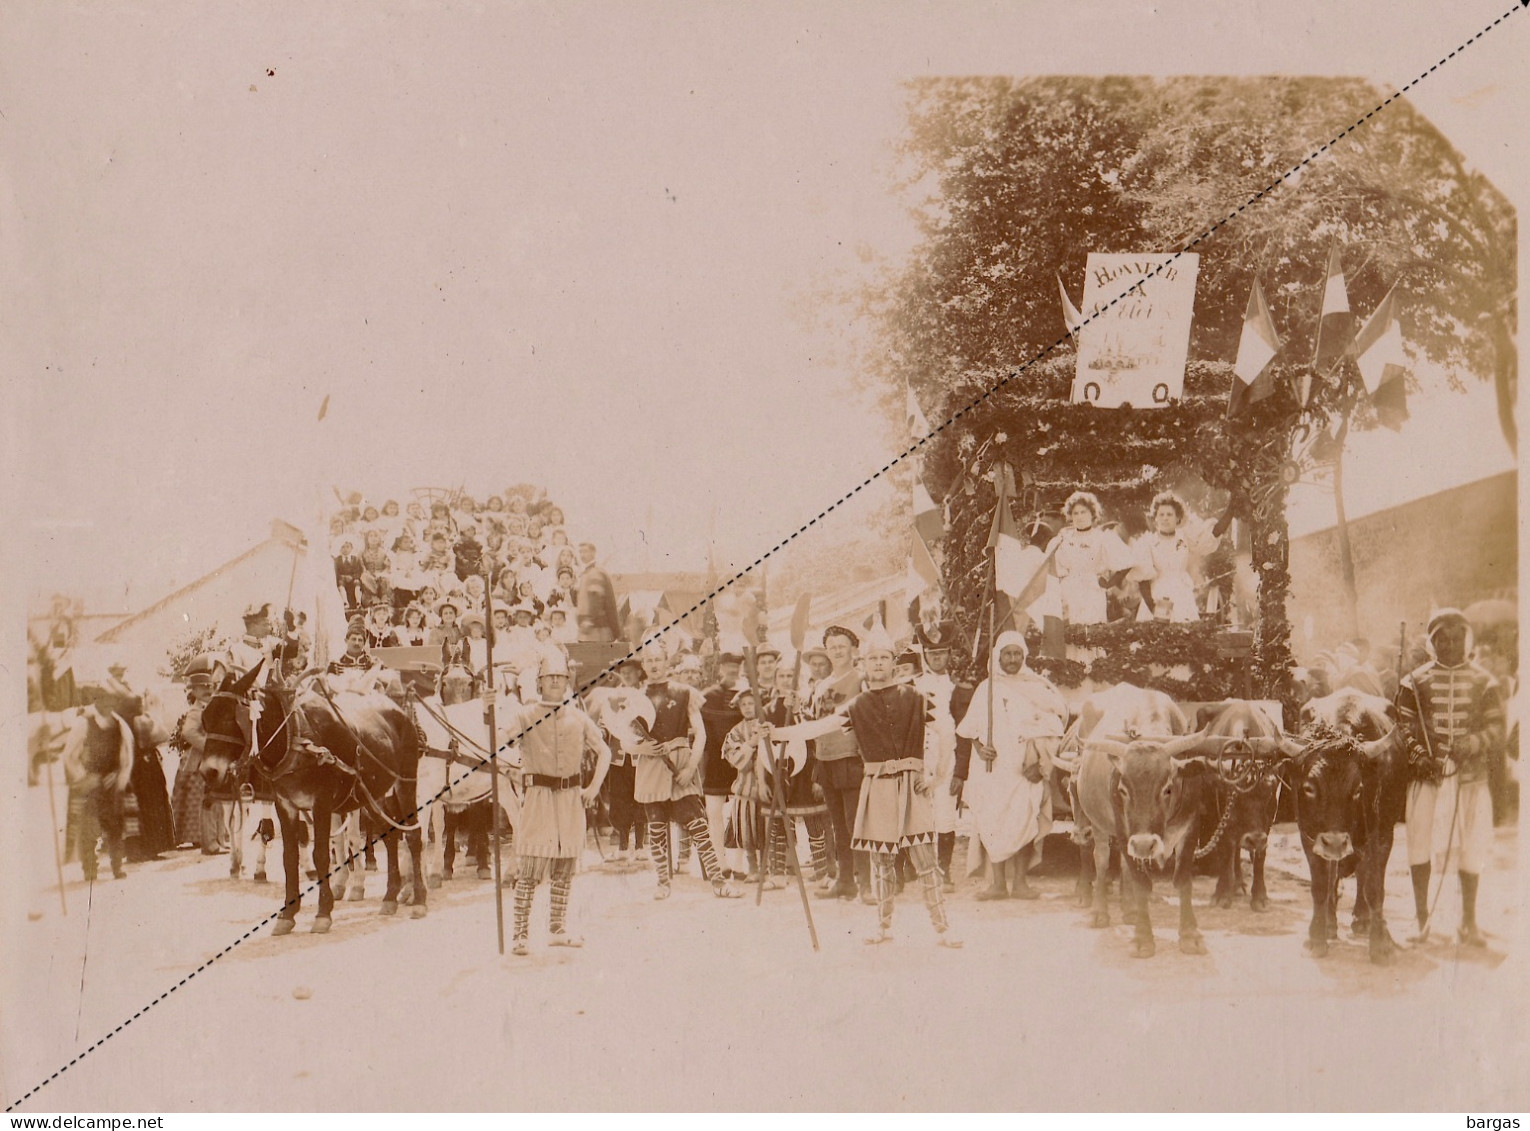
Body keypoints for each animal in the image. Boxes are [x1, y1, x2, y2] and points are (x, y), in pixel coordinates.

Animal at [197, 658, 428, 930]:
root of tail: (398, 710)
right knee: (390, 836)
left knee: (413, 836)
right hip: (373, 794)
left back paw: (419, 899)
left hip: (405, 783)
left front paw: (323, 912)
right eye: (206, 718)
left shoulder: (322, 804)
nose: (209, 772)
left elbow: (321, 855)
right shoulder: (285, 804)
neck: (294, 736)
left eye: (231, 719)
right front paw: (287, 914)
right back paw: (390, 897)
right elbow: (289, 857)